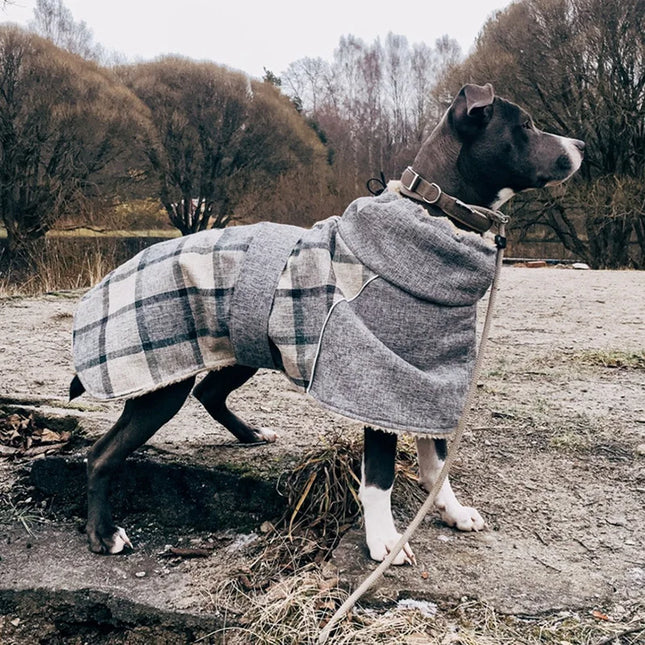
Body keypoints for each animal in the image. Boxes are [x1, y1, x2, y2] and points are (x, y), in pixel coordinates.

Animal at [69, 82, 584, 564]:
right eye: (528, 125)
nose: (581, 143)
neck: (435, 219)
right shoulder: (382, 388)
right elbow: (380, 478)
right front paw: (385, 542)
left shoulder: (426, 381)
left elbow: (437, 464)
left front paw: (452, 512)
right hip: (160, 384)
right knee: (101, 455)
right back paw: (102, 534)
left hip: (244, 346)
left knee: (209, 392)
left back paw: (250, 435)